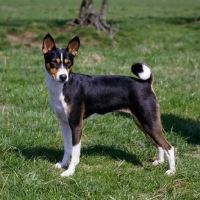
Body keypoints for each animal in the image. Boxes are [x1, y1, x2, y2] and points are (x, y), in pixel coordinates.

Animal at [41, 34, 175, 177]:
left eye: (69, 63)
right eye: (54, 62)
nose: (63, 76)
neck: (62, 88)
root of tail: (146, 83)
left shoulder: (76, 124)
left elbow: (75, 153)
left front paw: (69, 172)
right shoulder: (64, 123)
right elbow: (67, 148)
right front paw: (62, 165)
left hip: (149, 122)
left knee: (169, 147)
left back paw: (171, 171)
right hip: (143, 122)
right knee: (159, 144)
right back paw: (159, 162)